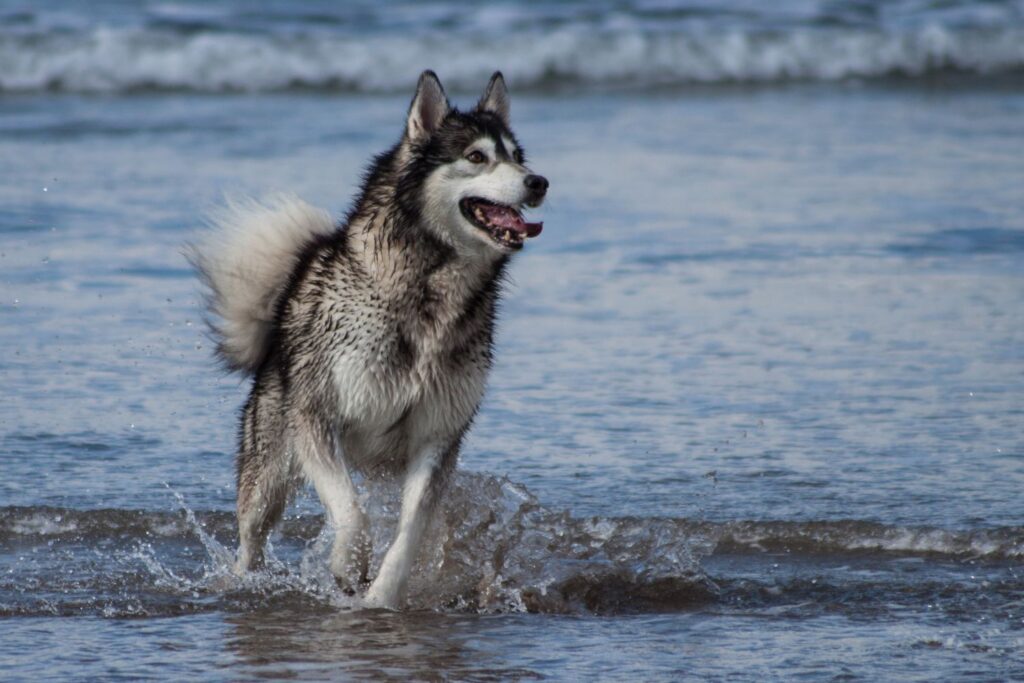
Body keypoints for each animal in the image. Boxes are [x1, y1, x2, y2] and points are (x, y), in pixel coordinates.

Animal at [189, 70, 548, 610]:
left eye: (518, 157)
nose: (538, 182)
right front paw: (347, 564)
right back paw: (237, 582)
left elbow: (409, 533)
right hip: (267, 470)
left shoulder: (436, 438)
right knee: (251, 540)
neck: (426, 292)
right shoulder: (316, 418)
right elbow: (349, 510)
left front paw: (381, 597)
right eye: (476, 157)